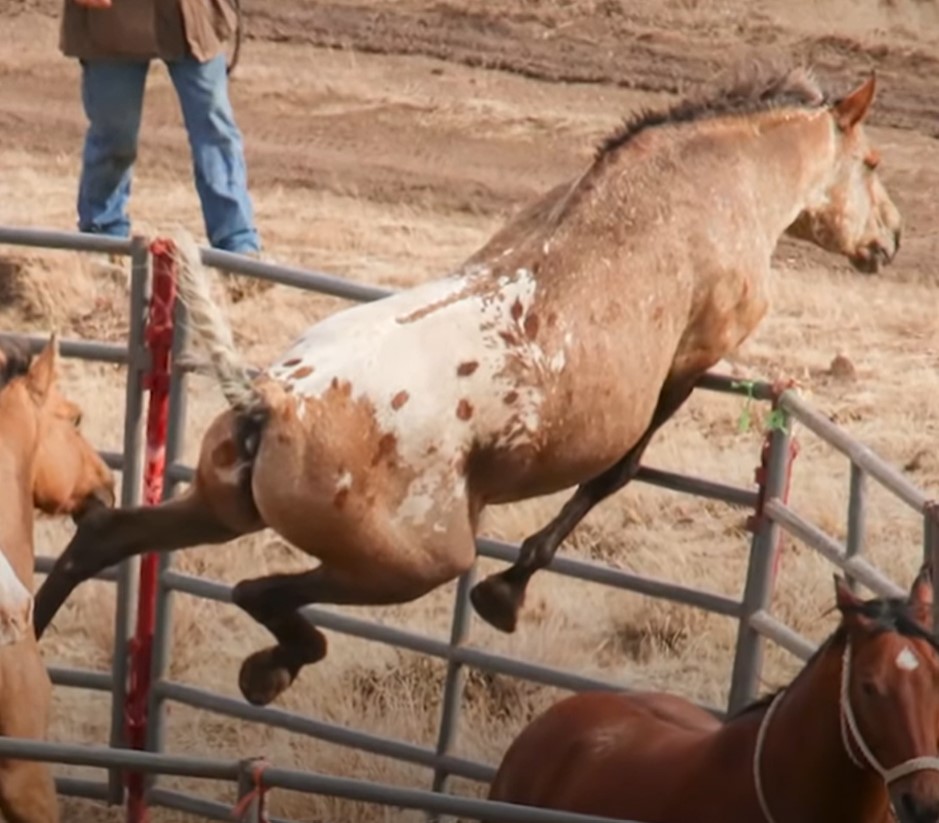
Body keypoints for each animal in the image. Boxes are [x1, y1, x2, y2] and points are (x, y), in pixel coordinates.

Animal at [35, 62, 904, 708]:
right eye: (869, 164)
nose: (892, 239)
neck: (708, 182)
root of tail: (273, 401)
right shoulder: (697, 354)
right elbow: (614, 472)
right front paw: (507, 592)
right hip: (412, 561)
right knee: (262, 591)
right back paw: (270, 667)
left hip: (220, 510)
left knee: (106, 537)